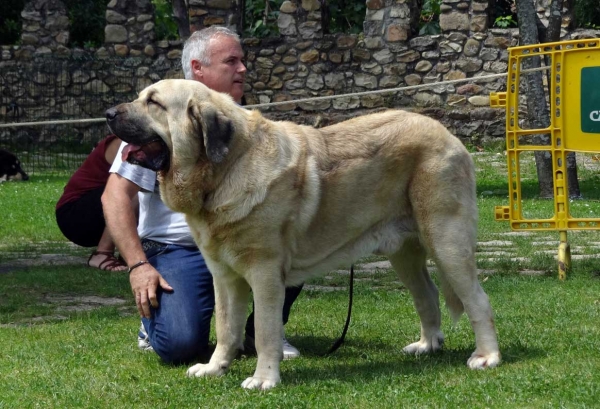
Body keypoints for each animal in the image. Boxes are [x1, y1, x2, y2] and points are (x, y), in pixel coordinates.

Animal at [105, 78, 500, 388]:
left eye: (153, 102)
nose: (108, 114)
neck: (225, 169)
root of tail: (448, 135)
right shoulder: (225, 277)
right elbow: (227, 326)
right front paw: (215, 368)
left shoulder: (264, 273)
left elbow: (266, 330)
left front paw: (263, 379)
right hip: (403, 253)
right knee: (427, 294)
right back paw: (427, 345)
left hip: (447, 242)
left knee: (477, 299)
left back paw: (487, 356)